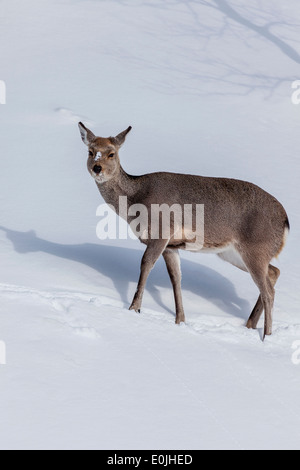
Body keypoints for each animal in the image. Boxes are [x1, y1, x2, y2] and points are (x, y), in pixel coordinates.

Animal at [78, 123, 290, 340]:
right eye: (90, 151)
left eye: (111, 153)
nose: (97, 167)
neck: (135, 200)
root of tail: (285, 221)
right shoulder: (172, 246)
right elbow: (176, 278)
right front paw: (180, 320)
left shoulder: (161, 232)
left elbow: (146, 265)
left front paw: (134, 308)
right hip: (232, 253)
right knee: (274, 272)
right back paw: (250, 325)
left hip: (255, 249)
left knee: (268, 291)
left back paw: (266, 336)